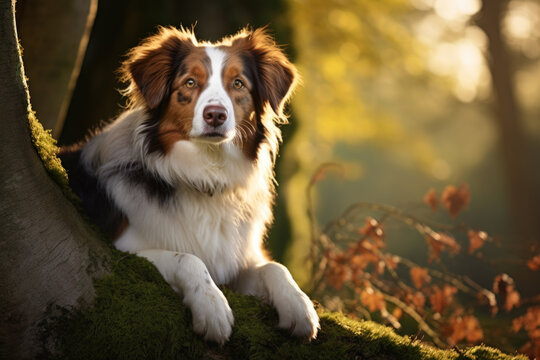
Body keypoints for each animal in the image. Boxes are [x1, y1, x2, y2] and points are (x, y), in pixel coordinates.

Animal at [59, 27, 320, 344]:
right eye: (190, 82)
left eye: (238, 83)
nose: (216, 115)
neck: (205, 175)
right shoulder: (122, 250)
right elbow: (189, 258)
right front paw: (212, 308)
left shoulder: (235, 261)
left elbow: (275, 266)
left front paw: (299, 306)